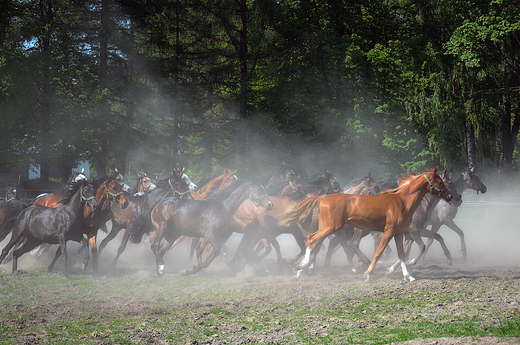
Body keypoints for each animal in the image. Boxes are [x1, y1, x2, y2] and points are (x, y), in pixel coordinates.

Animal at [130, 179, 274, 276]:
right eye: (259, 189)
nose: (270, 204)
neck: (222, 207)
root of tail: (156, 206)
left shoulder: (221, 236)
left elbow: (214, 253)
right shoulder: (209, 234)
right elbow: (214, 251)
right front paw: (191, 270)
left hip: (171, 236)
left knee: (161, 250)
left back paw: (160, 271)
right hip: (162, 228)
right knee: (154, 246)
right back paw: (161, 267)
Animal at [282, 167, 458, 282]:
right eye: (441, 181)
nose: (452, 197)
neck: (402, 201)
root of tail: (324, 197)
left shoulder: (400, 233)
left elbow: (402, 254)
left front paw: (407, 276)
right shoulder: (390, 231)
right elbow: (379, 252)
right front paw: (368, 273)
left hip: (329, 228)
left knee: (317, 243)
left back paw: (301, 270)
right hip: (332, 228)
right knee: (313, 240)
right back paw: (302, 267)